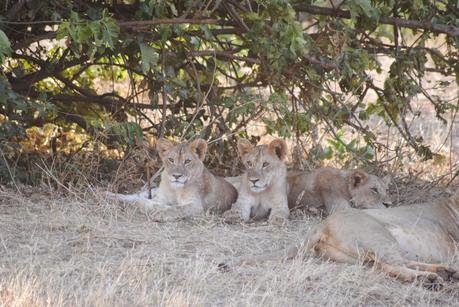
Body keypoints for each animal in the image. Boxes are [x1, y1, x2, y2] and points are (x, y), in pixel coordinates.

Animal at [221, 191, 458, 286]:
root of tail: (322, 224)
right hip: (379, 236)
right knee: (393, 265)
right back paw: (431, 278)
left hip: (363, 254)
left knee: (388, 265)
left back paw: (445, 271)